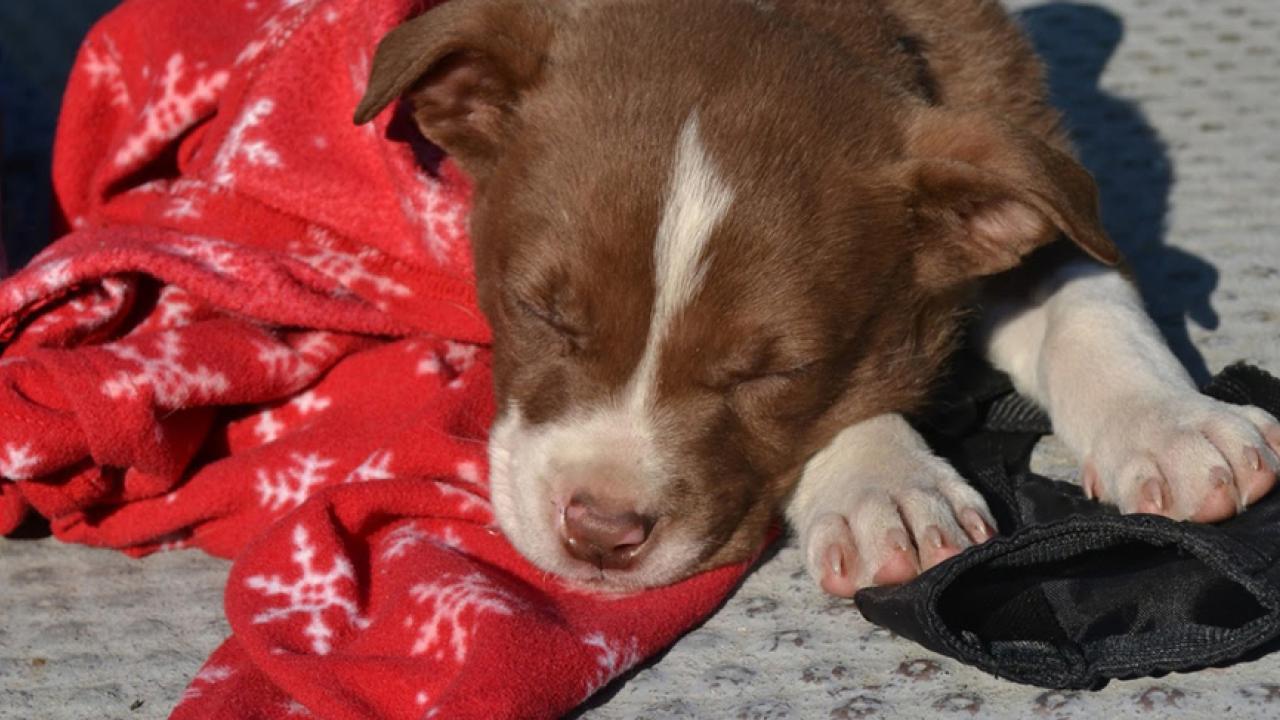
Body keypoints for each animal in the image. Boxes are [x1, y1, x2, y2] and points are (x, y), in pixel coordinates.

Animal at [355, 0, 1280, 594]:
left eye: (776, 373)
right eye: (541, 312)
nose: (601, 532)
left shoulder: (1020, 164)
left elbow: (1088, 293)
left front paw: (1172, 426)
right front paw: (887, 490)